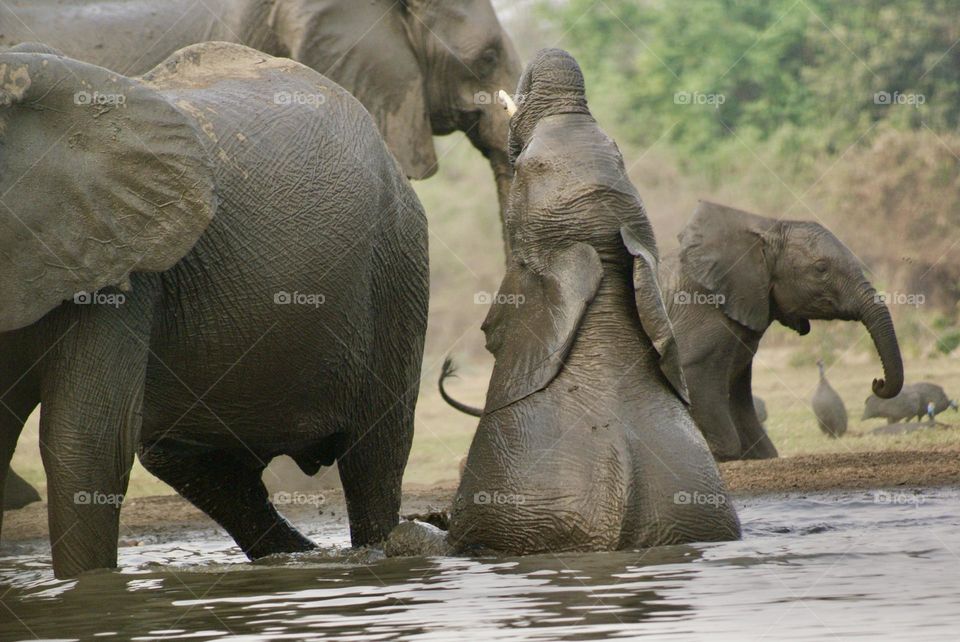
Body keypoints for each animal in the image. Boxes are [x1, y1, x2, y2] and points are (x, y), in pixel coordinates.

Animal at [664, 202, 904, 458]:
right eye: (821, 268)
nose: (877, 382)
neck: (765, 230)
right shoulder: (701, 309)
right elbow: (692, 374)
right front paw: (718, 455)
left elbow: (738, 393)